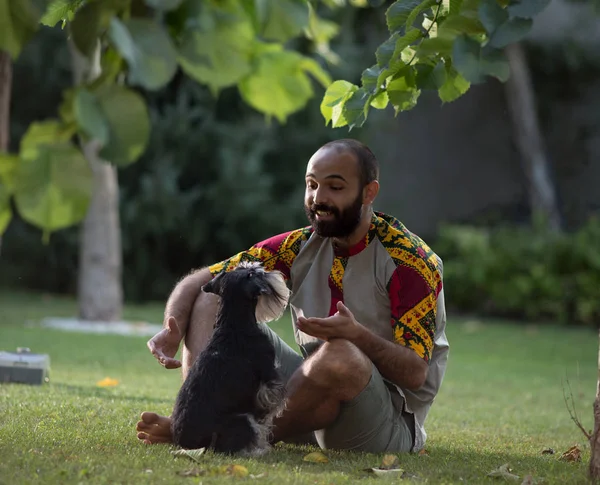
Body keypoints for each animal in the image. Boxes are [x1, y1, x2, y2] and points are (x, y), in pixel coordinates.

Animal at [170, 260, 292, 454]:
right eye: (256, 272)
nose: (273, 271)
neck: (233, 325)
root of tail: (189, 445)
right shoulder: (270, 379)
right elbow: (268, 410)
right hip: (242, 420)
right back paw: (258, 451)